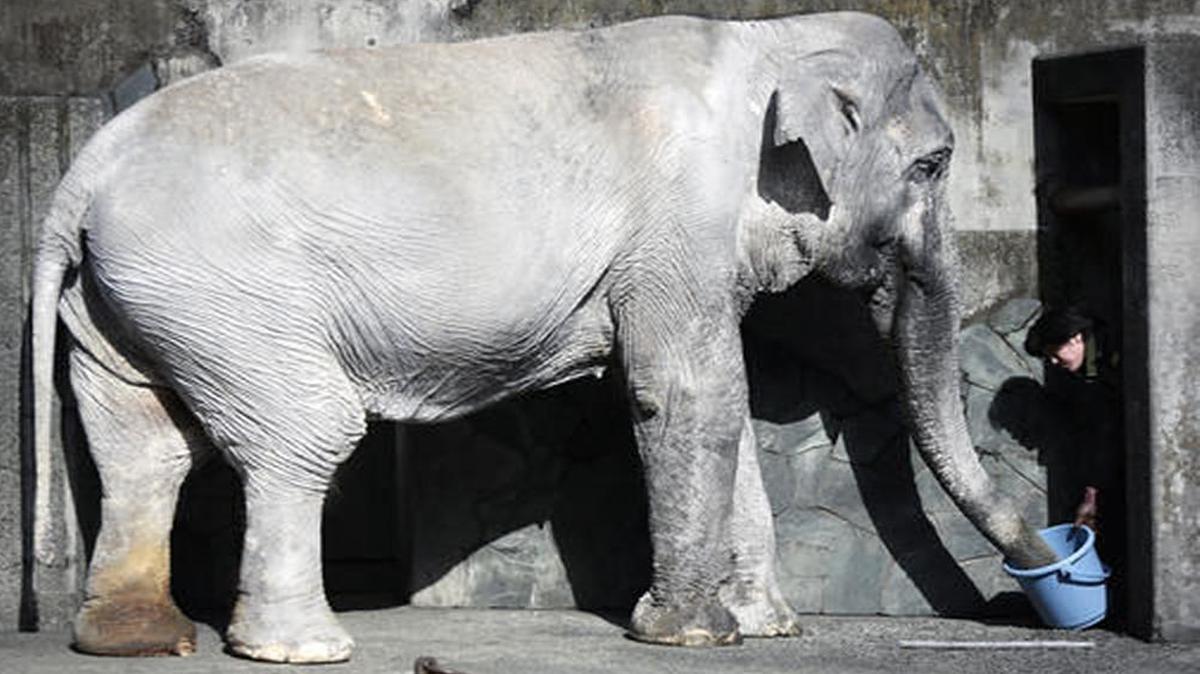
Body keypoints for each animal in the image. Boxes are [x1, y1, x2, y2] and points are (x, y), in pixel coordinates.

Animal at [29, 11, 1058, 664]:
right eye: (932, 164)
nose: (1044, 579)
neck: (768, 36)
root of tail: (78, 175)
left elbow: (722, 405)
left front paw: (769, 629)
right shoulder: (678, 220)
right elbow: (689, 393)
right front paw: (692, 635)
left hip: (136, 298)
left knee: (140, 446)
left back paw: (136, 641)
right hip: (224, 288)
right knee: (302, 433)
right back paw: (303, 649)